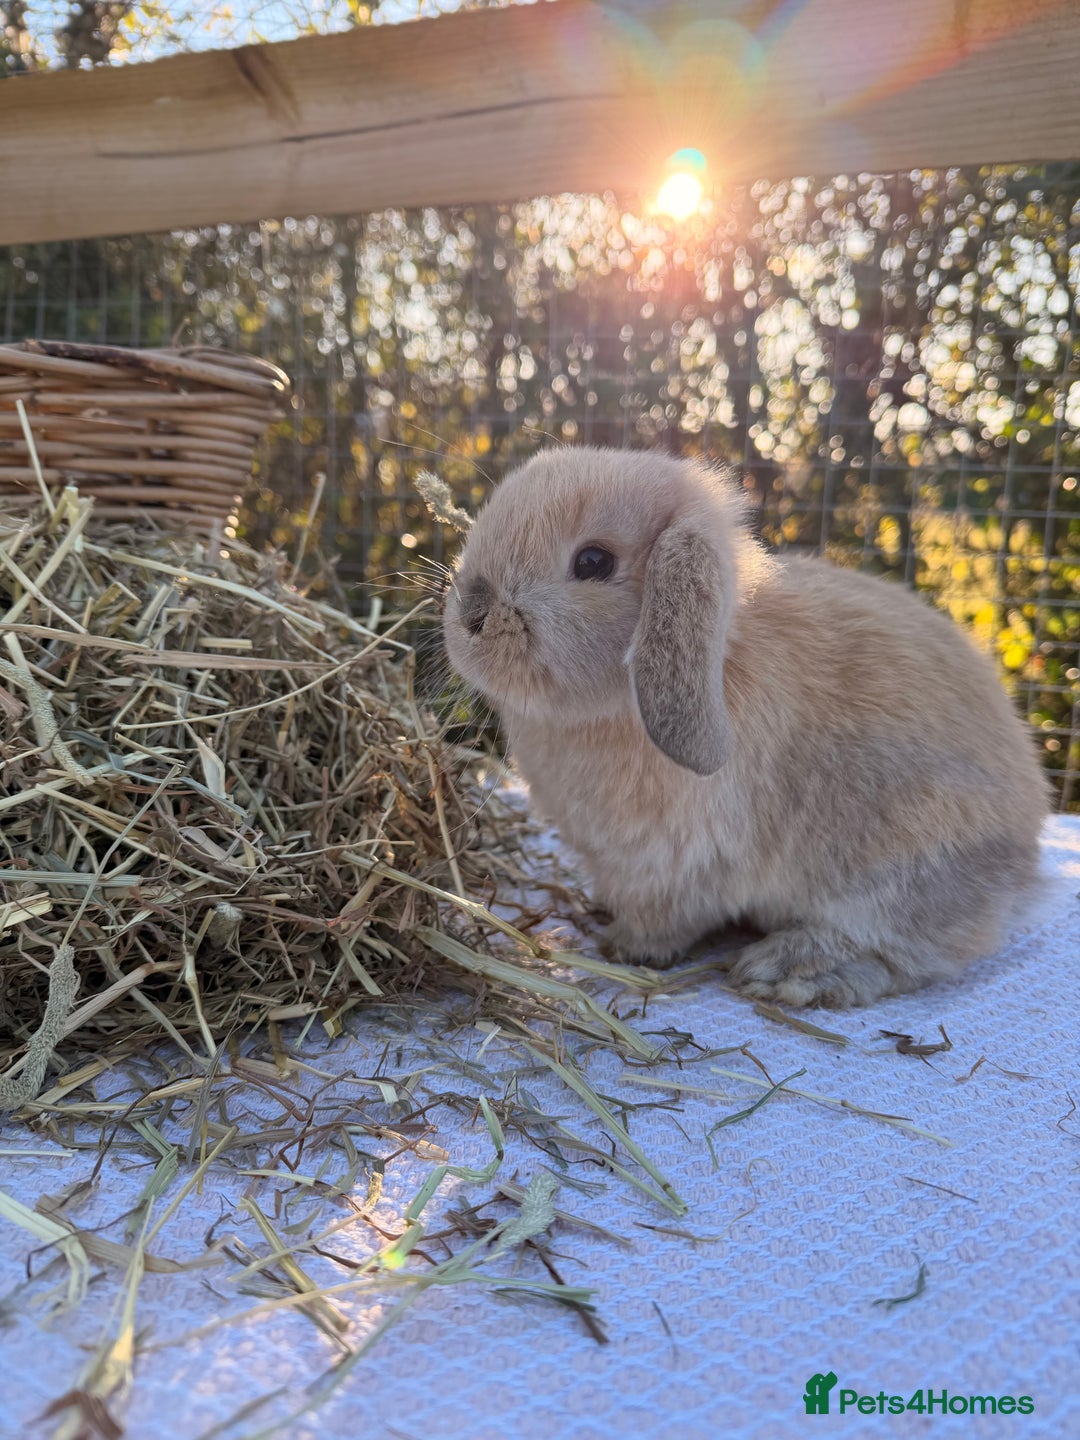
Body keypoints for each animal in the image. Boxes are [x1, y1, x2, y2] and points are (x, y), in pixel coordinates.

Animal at [442, 446, 1049, 1007]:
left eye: (592, 561)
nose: (470, 615)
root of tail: (1025, 864)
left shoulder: (677, 865)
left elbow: (668, 916)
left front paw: (626, 946)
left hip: (903, 862)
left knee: (901, 952)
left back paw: (787, 971)